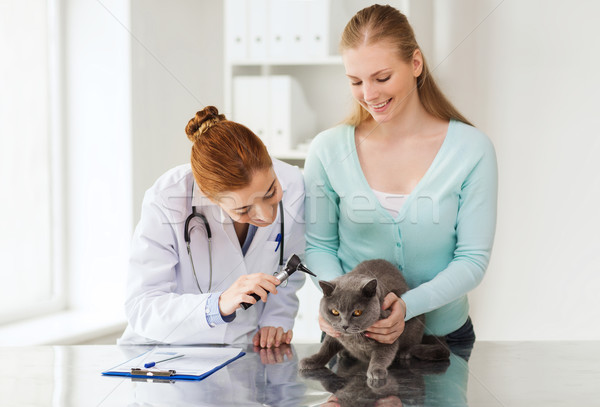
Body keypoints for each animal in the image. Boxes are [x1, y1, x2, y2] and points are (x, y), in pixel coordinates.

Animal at [300, 260, 450, 384]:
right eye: (335, 312)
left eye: (357, 312)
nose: (344, 325)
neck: (355, 338)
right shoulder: (333, 333)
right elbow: (325, 348)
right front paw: (311, 361)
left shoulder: (388, 337)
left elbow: (382, 355)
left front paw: (377, 371)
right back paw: (345, 353)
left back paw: (405, 353)